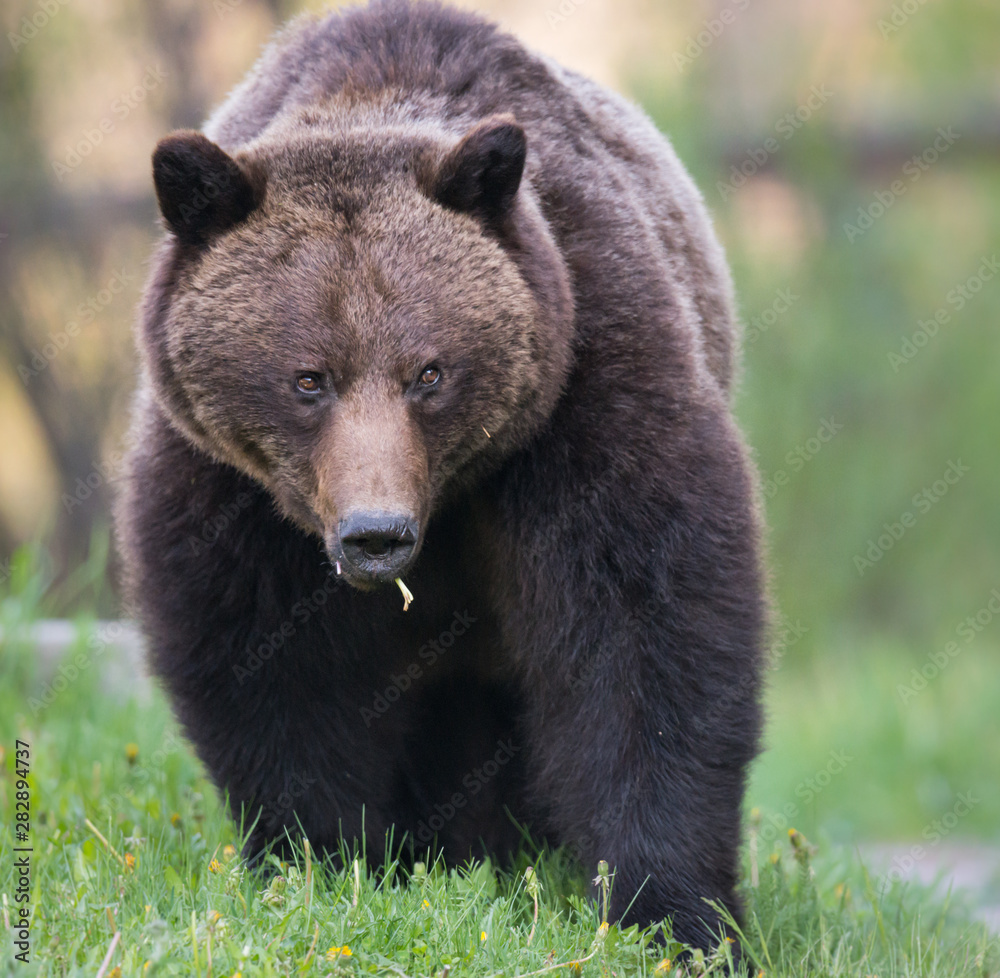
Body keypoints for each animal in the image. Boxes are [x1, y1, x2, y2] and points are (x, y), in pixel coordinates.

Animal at [115, 0, 764, 948]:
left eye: (429, 372)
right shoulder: (232, 492)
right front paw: (324, 863)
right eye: (307, 378)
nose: (375, 536)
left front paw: (673, 913)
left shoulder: (584, 387)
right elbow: (271, 665)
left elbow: (645, 631)